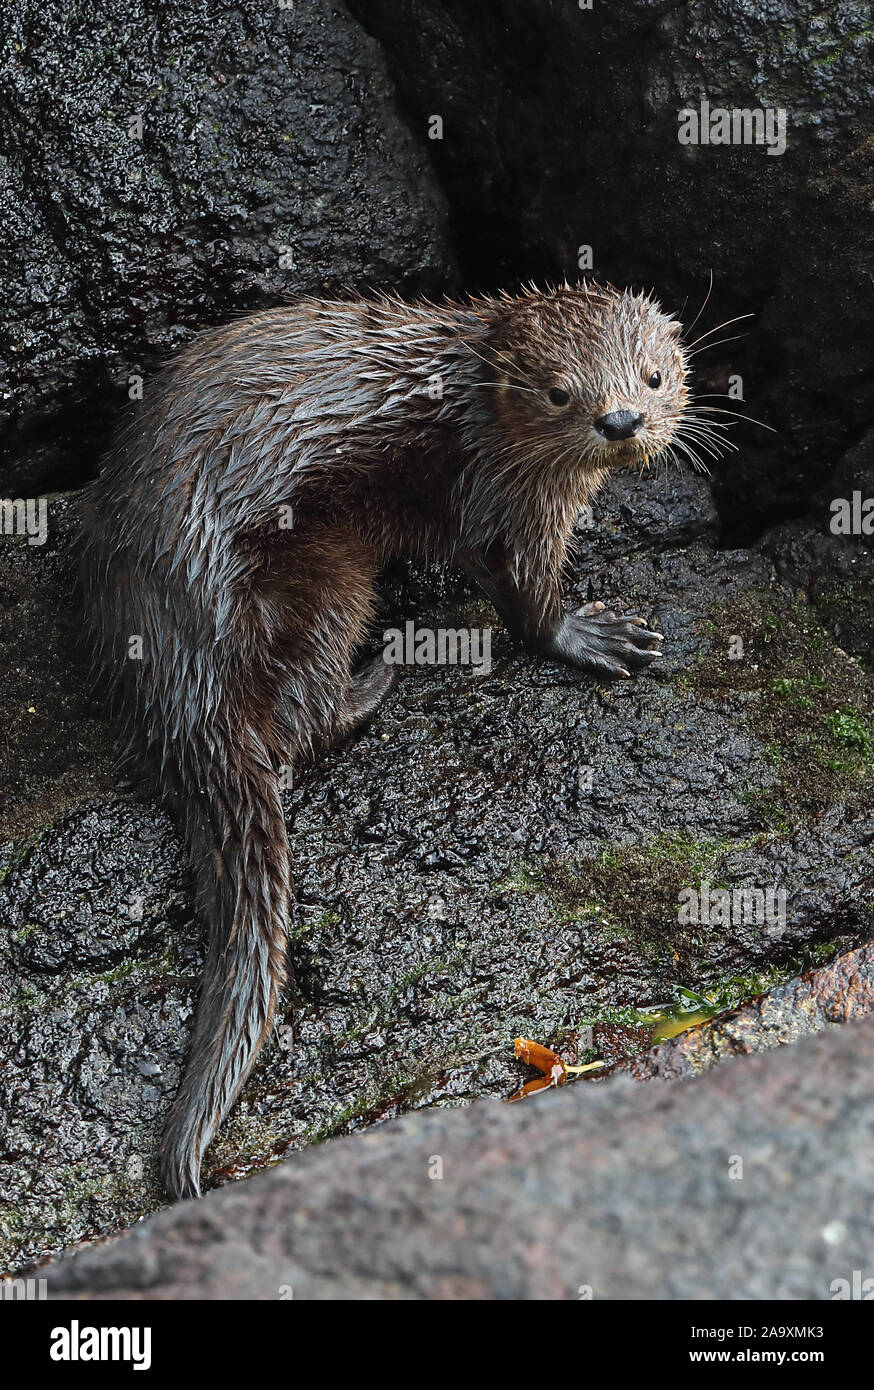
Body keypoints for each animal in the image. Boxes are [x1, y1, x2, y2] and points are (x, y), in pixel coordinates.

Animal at [78, 279, 697, 1195]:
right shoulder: (508, 492)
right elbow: (521, 593)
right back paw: (381, 673)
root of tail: (176, 671)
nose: (620, 420)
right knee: (300, 724)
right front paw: (592, 636)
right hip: (317, 577)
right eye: (560, 394)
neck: (475, 407)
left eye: (653, 377)